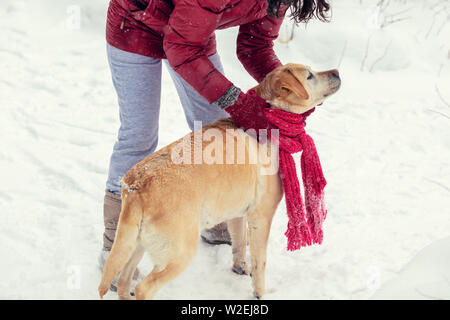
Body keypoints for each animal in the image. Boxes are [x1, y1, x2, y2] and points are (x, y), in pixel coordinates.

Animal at [98, 63, 342, 300]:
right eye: (309, 75)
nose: (337, 72)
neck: (273, 119)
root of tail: (136, 186)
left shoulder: (237, 213)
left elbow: (239, 244)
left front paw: (240, 268)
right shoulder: (261, 217)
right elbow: (260, 263)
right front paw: (260, 293)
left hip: (136, 244)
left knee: (123, 281)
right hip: (179, 252)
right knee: (144, 288)